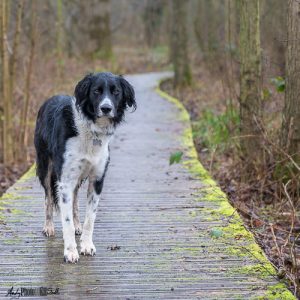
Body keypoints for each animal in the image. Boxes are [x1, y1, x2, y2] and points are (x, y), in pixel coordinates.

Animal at [33, 72, 136, 262]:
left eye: (116, 92)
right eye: (96, 91)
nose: (106, 108)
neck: (92, 131)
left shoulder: (97, 179)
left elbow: (90, 218)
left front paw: (86, 245)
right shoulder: (65, 180)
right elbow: (65, 220)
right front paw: (70, 252)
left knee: (74, 202)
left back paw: (77, 225)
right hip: (46, 167)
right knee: (48, 198)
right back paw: (49, 226)